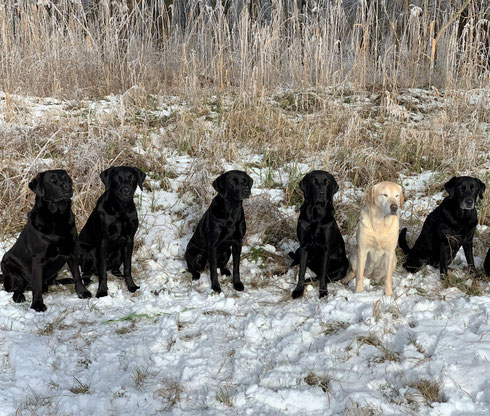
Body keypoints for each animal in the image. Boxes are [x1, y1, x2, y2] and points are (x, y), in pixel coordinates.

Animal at [0, 170, 91, 312]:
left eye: (66, 178)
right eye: (52, 180)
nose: (68, 186)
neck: (57, 217)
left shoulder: (71, 251)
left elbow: (77, 275)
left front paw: (82, 292)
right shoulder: (38, 258)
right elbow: (37, 285)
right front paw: (37, 304)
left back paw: (65, 280)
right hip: (8, 265)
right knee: (16, 289)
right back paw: (18, 297)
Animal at [79, 164, 145, 298]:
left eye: (132, 177)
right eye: (117, 178)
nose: (126, 190)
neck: (120, 209)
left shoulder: (129, 240)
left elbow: (128, 268)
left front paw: (131, 285)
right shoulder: (103, 242)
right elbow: (103, 271)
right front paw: (102, 291)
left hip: (119, 252)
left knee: (115, 269)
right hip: (89, 251)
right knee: (86, 273)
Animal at [290, 170, 350, 300]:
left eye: (327, 182)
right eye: (313, 181)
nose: (321, 193)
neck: (316, 215)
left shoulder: (326, 249)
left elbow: (323, 275)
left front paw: (323, 292)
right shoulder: (304, 246)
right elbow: (301, 272)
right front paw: (298, 290)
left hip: (344, 265)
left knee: (323, 276)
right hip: (299, 250)